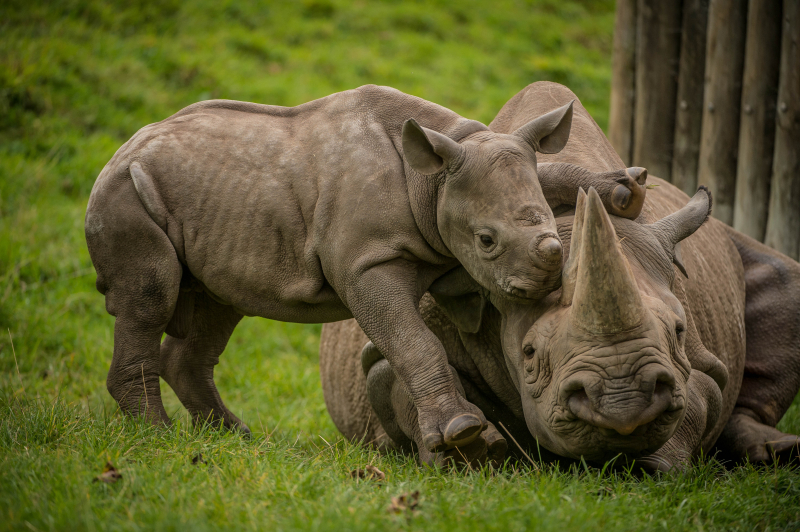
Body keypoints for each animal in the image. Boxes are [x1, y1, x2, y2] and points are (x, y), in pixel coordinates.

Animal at [85, 84, 645, 450]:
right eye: (486, 241)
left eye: (550, 223)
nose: (546, 278)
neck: (431, 180)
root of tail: (116, 154)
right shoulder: (365, 263)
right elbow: (413, 341)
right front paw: (460, 431)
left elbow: (548, 174)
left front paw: (624, 189)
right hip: (125, 196)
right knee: (150, 297)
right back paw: (158, 440)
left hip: (206, 206)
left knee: (218, 306)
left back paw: (235, 439)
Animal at [319, 83, 800, 469]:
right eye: (529, 353)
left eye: (679, 331)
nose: (623, 405)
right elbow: (402, 378)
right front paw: (474, 449)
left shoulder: (700, 358)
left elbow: (701, 395)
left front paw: (650, 464)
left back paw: (774, 452)